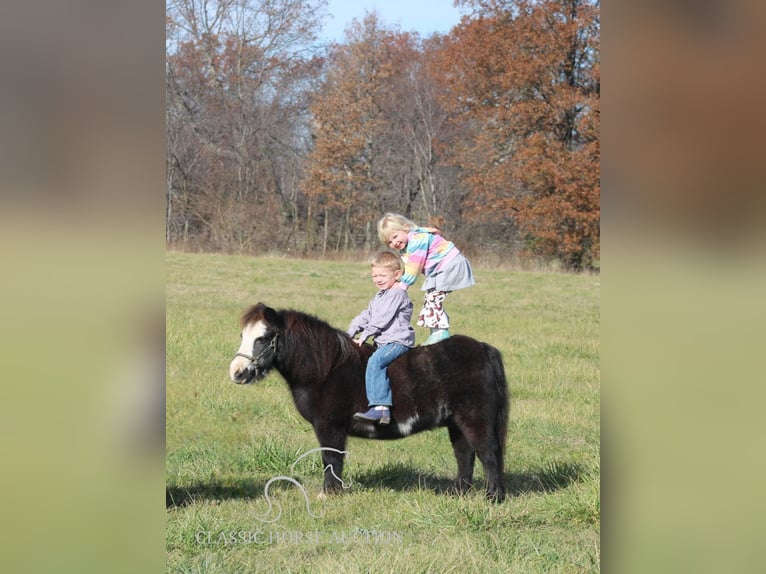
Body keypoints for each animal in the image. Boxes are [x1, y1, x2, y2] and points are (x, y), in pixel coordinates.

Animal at [231, 304, 512, 502]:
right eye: (243, 334)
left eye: (264, 337)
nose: (237, 372)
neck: (326, 368)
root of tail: (482, 349)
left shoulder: (329, 427)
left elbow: (331, 459)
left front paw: (328, 494)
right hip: (457, 423)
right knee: (465, 456)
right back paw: (459, 494)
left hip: (476, 419)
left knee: (488, 454)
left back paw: (493, 498)